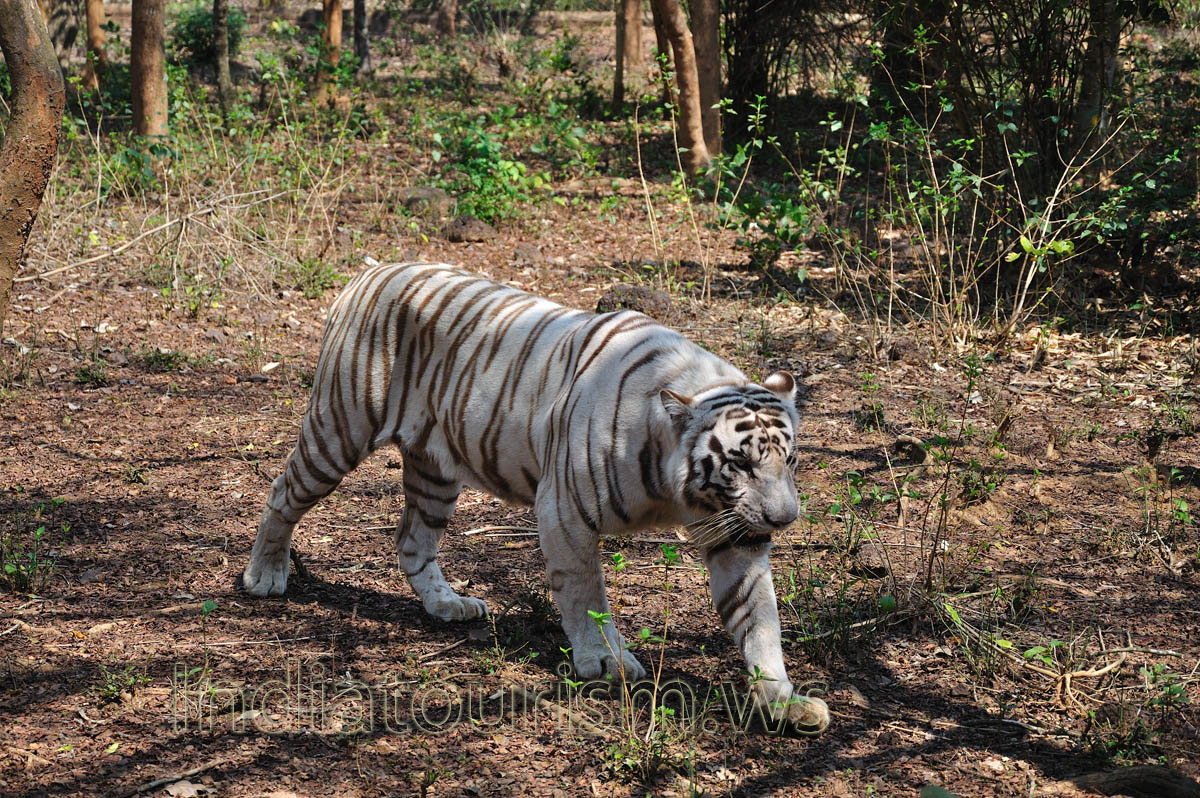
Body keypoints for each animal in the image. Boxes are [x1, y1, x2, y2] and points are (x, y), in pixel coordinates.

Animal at [242, 262, 831, 735]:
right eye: (741, 463)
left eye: (789, 461)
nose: (784, 519)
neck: (681, 489)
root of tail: (371, 271)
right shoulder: (566, 510)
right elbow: (586, 595)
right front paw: (605, 663)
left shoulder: (737, 535)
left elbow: (759, 618)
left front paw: (783, 701)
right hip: (338, 429)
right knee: (282, 493)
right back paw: (264, 576)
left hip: (435, 469)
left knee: (412, 540)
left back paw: (448, 605)